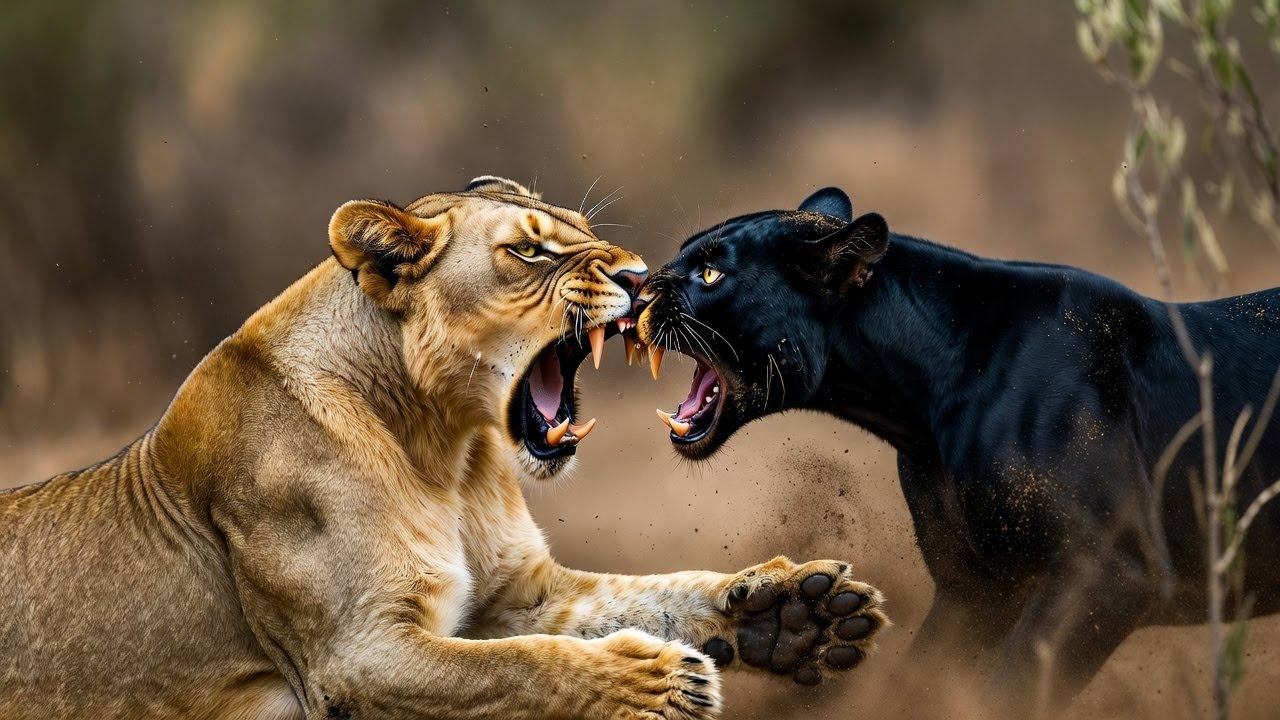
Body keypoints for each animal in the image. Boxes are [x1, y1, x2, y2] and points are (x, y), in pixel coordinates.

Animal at [0, 177, 888, 720]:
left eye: (589, 234)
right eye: (529, 251)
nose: (645, 280)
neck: (443, 447)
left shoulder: (519, 594)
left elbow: (651, 594)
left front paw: (791, 608)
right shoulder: (357, 657)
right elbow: (522, 667)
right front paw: (653, 681)